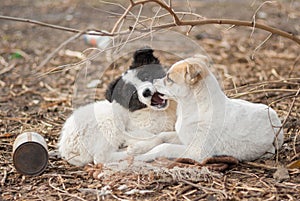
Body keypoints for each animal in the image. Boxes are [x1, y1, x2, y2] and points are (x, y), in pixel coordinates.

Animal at [134, 55, 284, 163]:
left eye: (169, 79)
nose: (153, 81)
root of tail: (275, 115)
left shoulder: (196, 151)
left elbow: (165, 146)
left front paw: (142, 156)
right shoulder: (182, 136)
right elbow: (161, 136)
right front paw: (139, 147)